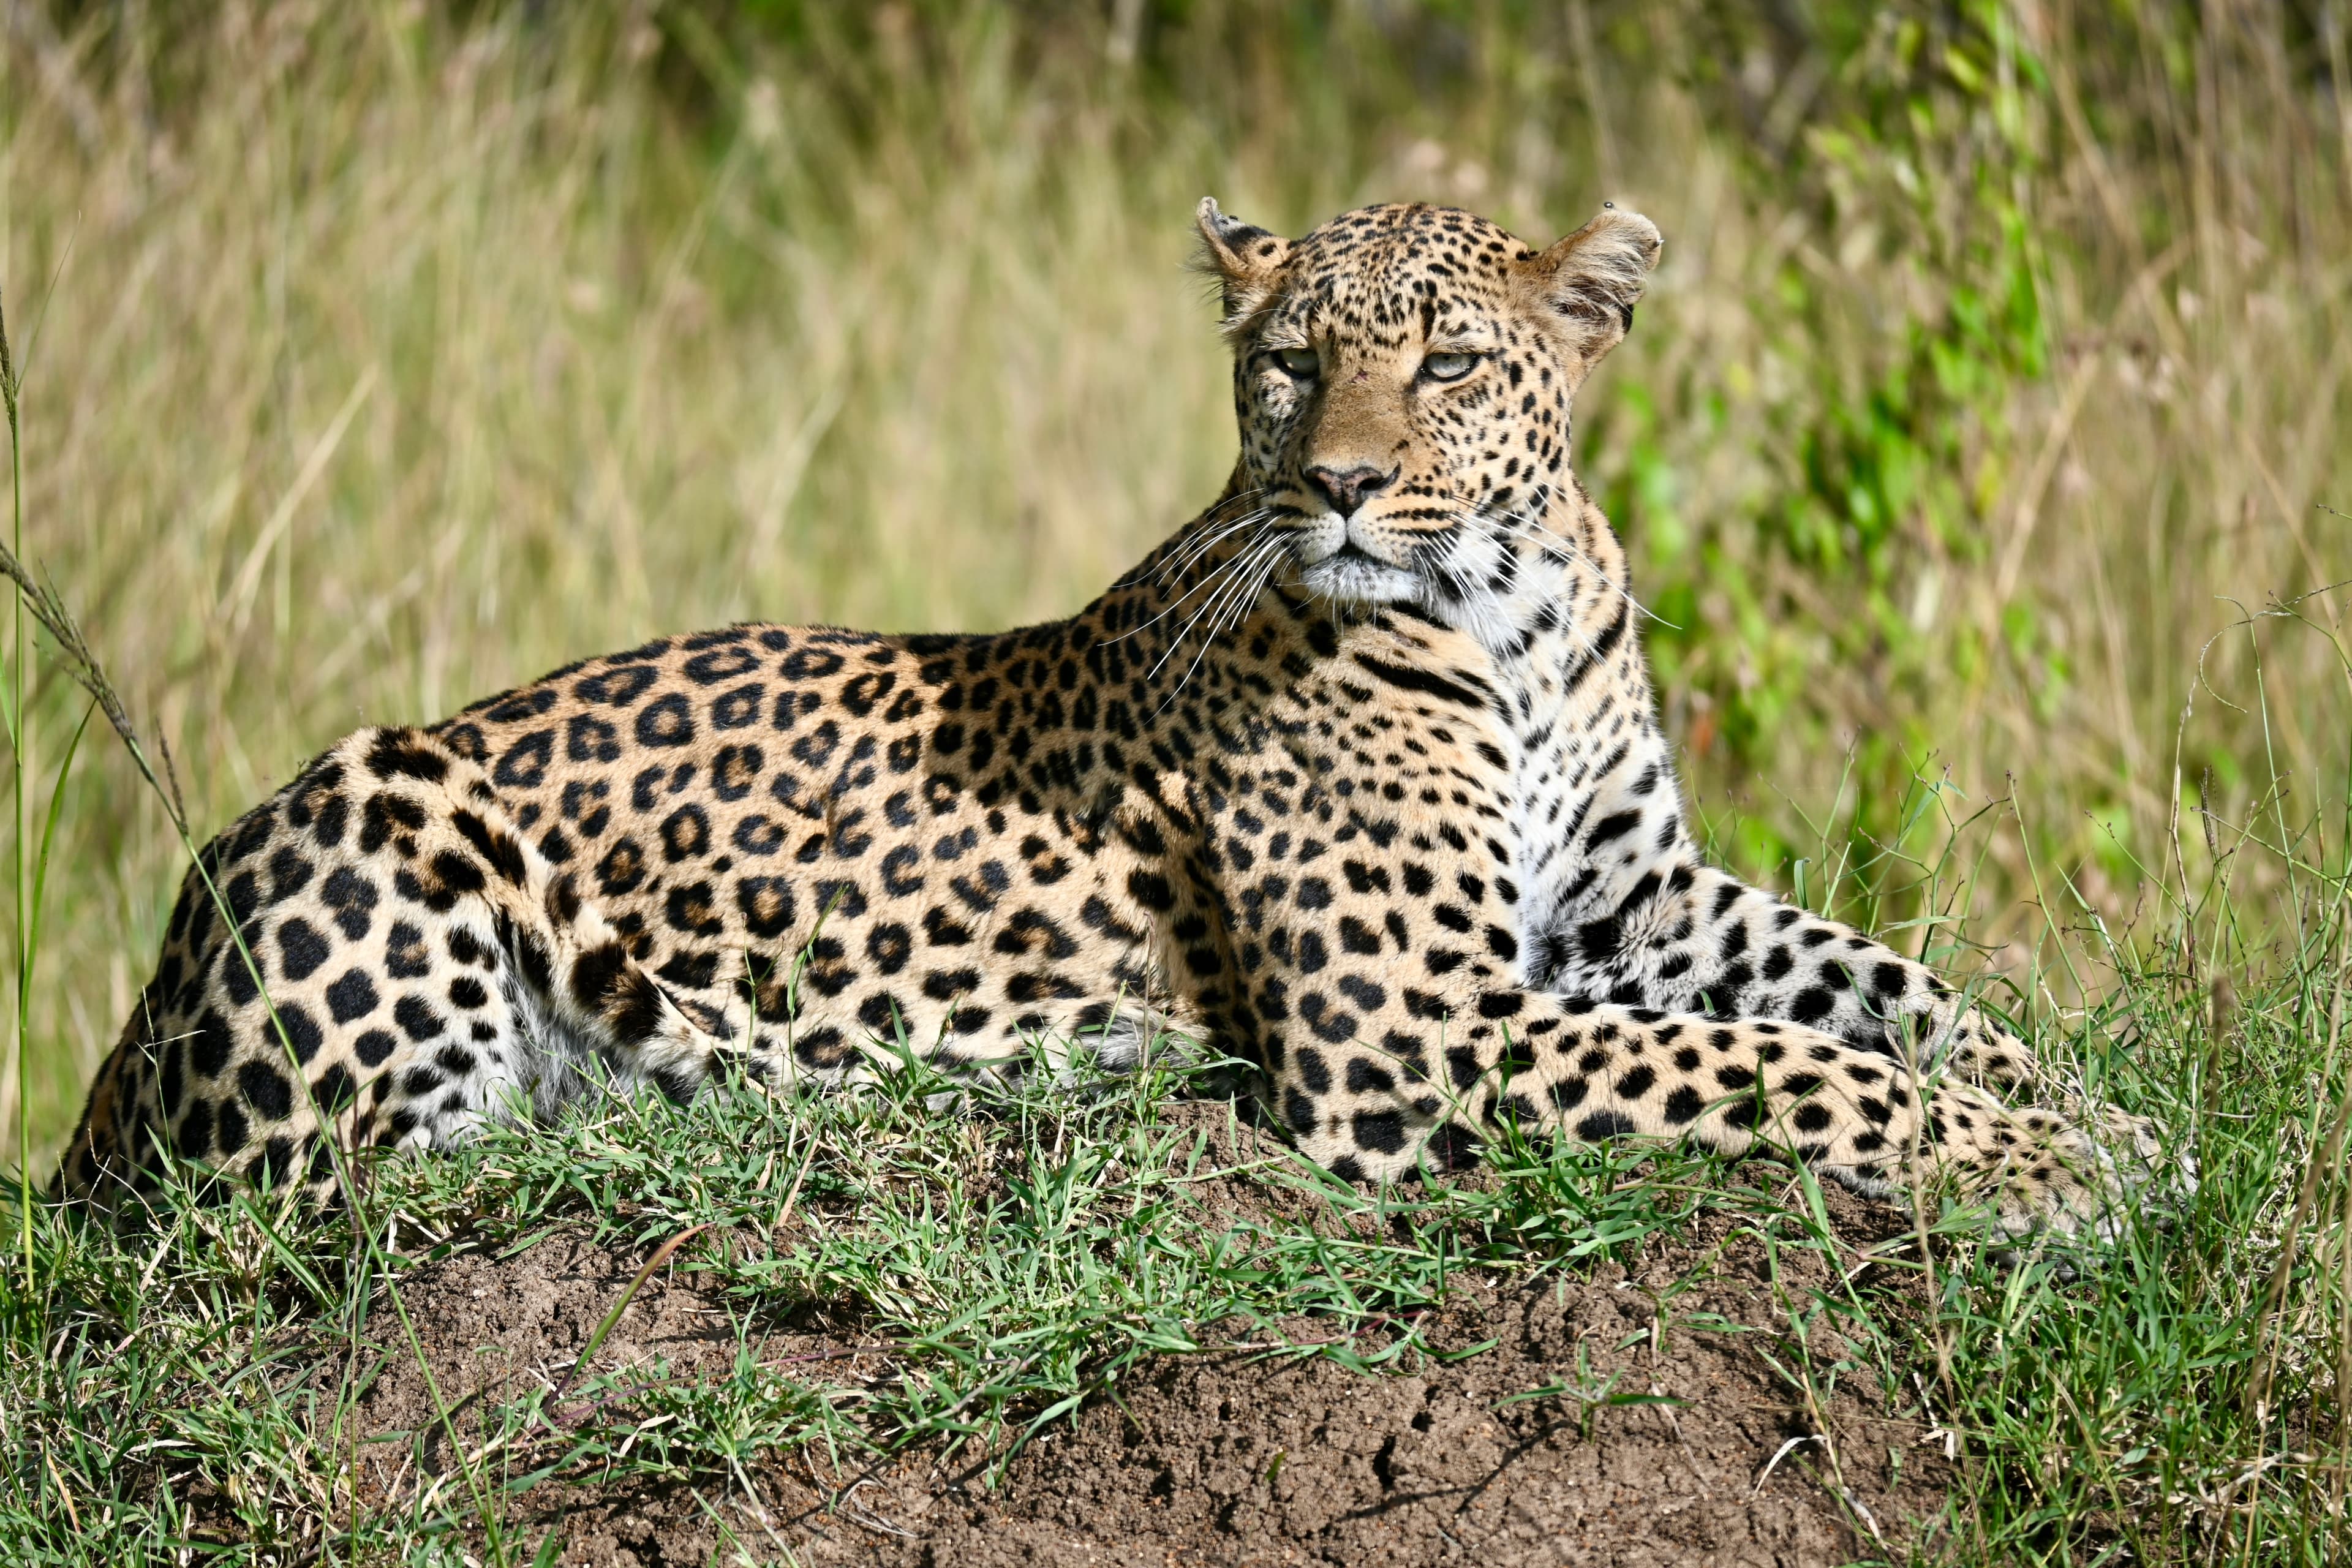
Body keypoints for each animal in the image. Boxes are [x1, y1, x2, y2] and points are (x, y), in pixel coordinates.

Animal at [59, 198, 2171, 1241]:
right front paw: (2036, 1175)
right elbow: (1778, 1065)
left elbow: (1878, 982)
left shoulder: (1635, 897)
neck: (1508, 616)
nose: (1336, 486)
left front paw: (2096, 1117)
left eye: (1447, 361)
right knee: (289, 1196)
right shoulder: (1420, 1038)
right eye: (1290, 362)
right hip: (383, 822)